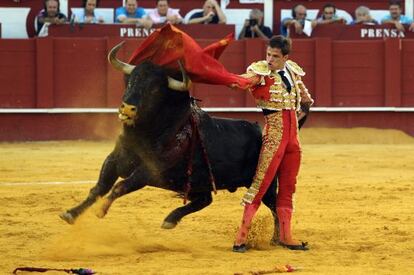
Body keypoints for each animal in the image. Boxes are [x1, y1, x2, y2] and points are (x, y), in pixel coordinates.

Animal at [60, 51, 308, 244]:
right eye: (131, 81)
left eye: (155, 90)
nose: (127, 108)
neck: (147, 133)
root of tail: (259, 130)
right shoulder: (115, 159)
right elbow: (99, 187)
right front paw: (71, 214)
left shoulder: (150, 171)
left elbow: (120, 186)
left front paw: (101, 210)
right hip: (200, 182)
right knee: (205, 200)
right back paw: (170, 219)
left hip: (265, 182)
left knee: (274, 205)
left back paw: (277, 239)